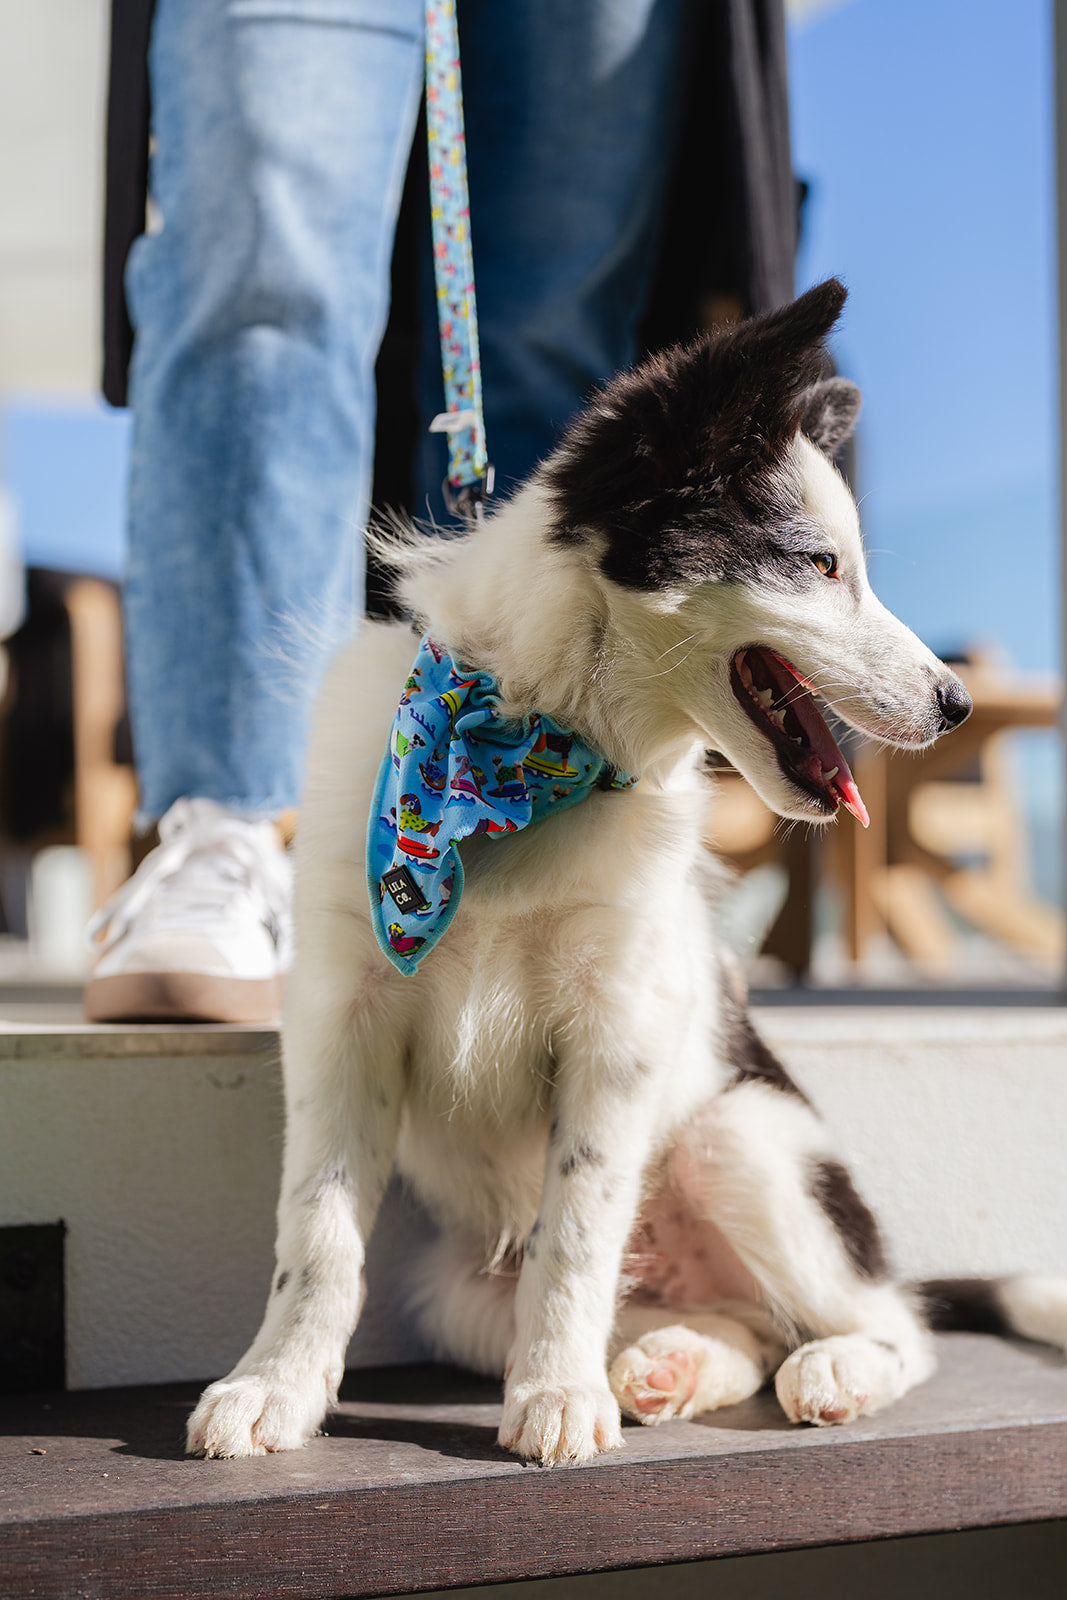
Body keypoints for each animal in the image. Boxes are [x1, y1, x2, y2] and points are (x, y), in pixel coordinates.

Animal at [187, 284, 1062, 1465]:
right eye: (818, 565)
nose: (956, 705)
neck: (528, 751)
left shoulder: (617, 1025)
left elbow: (578, 1226)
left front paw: (554, 1395)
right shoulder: (343, 1011)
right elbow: (317, 1229)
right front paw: (274, 1383)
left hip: (743, 1135)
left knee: (892, 1324)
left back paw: (824, 1366)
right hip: (458, 1293)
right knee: (738, 1322)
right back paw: (671, 1362)